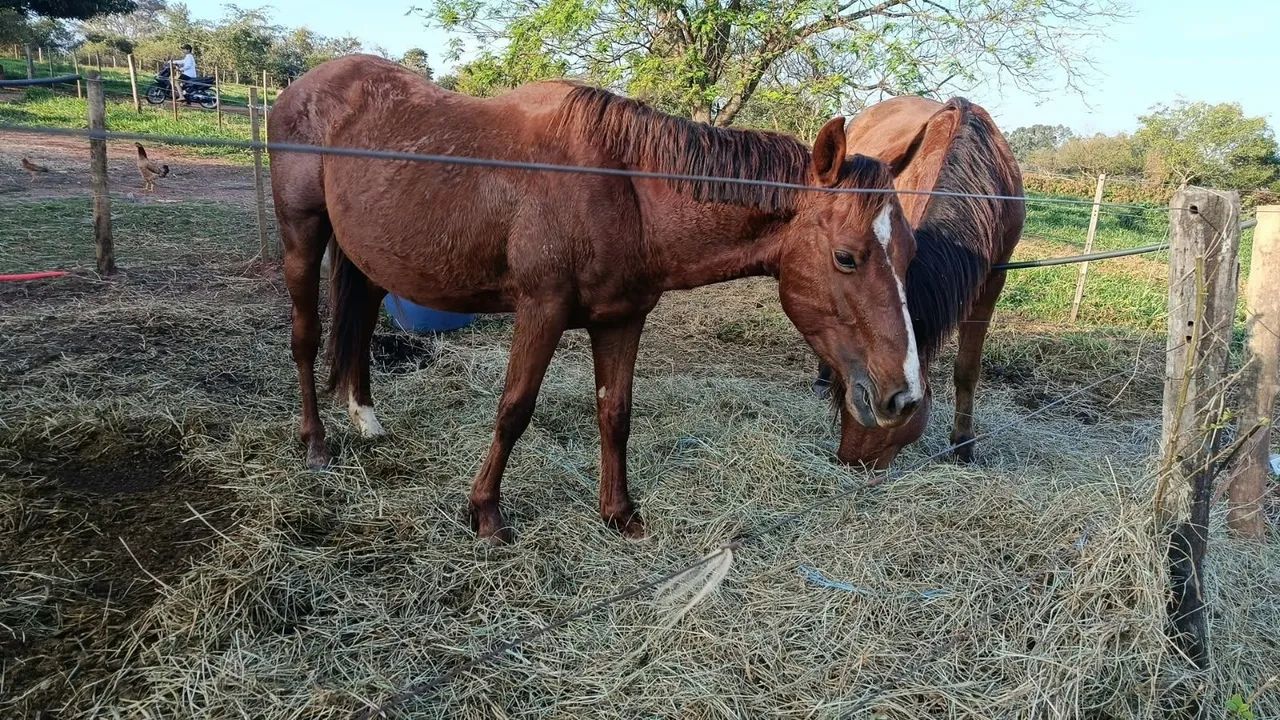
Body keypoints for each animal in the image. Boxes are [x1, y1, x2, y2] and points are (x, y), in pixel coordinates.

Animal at [268, 54, 924, 543]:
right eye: (846, 257)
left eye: (910, 252)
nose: (904, 397)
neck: (622, 188)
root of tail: (300, 87)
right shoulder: (540, 311)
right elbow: (514, 408)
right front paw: (485, 513)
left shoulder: (621, 319)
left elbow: (615, 413)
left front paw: (618, 513)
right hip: (302, 237)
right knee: (305, 339)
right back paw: (316, 443)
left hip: (368, 257)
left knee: (359, 322)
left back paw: (365, 419)